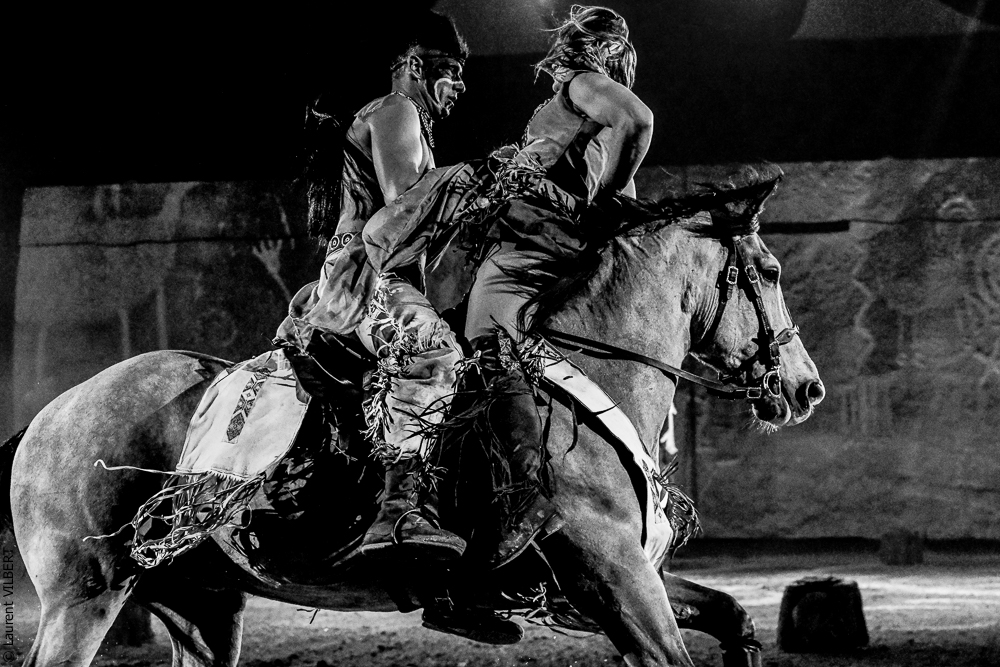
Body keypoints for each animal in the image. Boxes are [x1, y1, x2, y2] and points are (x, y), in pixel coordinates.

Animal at [1, 180, 824, 667]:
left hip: (202, 604)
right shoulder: (613, 578)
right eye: (771, 271)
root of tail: (49, 415)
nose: (805, 385)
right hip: (86, 596)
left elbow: (731, 615)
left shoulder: (614, 584)